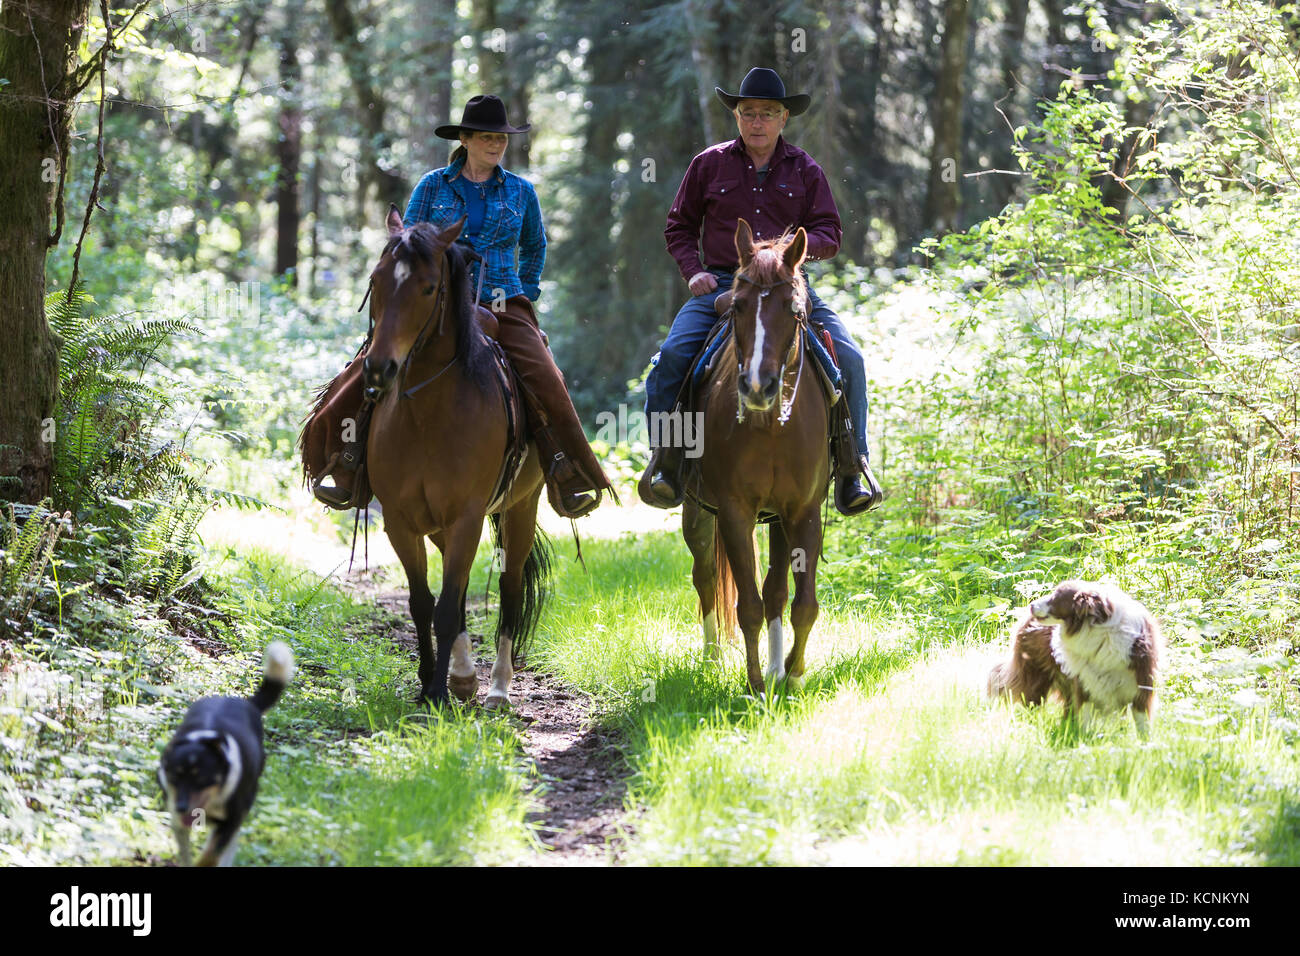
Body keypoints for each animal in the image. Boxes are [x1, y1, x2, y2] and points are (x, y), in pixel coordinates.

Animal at [159, 642, 295, 868]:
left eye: (201, 779)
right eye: (174, 777)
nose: (182, 807)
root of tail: (246, 703)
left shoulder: (231, 820)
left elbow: (210, 855)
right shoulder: (177, 816)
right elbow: (186, 852)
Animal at [302, 205, 548, 707]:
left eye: (429, 287)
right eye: (376, 280)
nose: (379, 369)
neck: (429, 413)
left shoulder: (468, 516)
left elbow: (448, 607)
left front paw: (437, 694)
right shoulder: (401, 519)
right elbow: (423, 604)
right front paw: (429, 681)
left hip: (521, 507)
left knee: (511, 585)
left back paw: (497, 687)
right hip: (441, 525)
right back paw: (465, 676)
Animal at [686, 218, 826, 697]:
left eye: (794, 310)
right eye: (738, 307)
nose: (757, 388)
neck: (771, 426)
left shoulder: (803, 510)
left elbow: (801, 602)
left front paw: (794, 675)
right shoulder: (734, 511)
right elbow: (747, 603)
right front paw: (754, 687)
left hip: (779, 519)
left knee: (777, 591)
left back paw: (778, 667)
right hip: (697, 512)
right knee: (706, 575)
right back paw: (713, 657)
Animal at [987, 580, 1164, 738]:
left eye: (1056, 597)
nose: (1031, 605)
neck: (1101, 633)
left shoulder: (1141, 686)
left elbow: (1143, 724)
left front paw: (1145, 744)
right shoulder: (1085, 683)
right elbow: (1085, 716)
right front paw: (1082, 741)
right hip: (1035, 677)